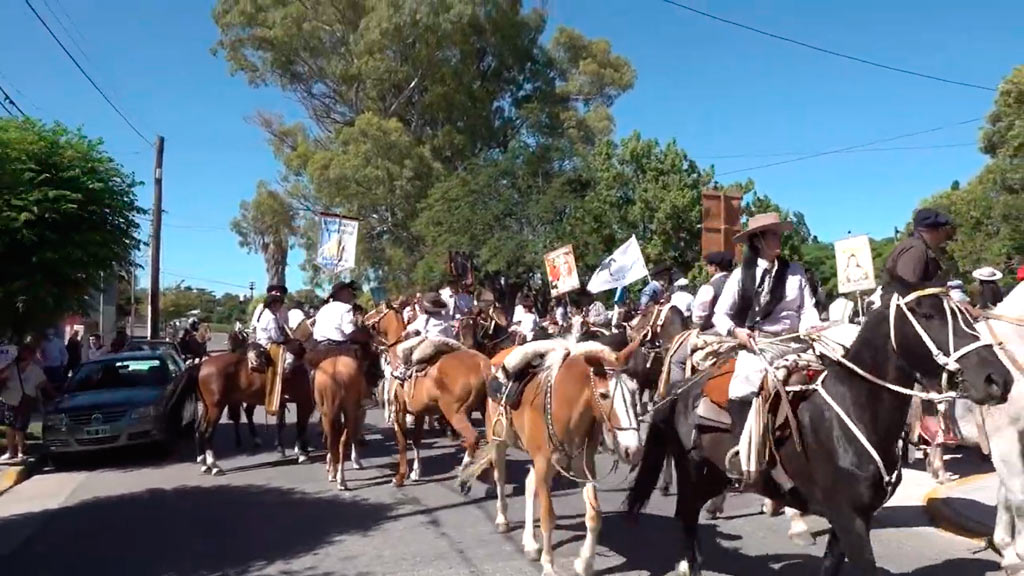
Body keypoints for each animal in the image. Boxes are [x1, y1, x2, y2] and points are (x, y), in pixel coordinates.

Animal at [460, 338, 643, 573]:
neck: (564, 407)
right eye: (604, 395)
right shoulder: (544, 463)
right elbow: (548, 517)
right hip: (499, 441)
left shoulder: (583, 467)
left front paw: (585, 562)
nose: (634, 449)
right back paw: (502, 519)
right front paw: (548, 564)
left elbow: (594, 515)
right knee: (500, 478)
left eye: (634, 391)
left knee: (530, 484)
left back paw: (530, 542)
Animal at [626, 280, 1011, 573]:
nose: (998, 379)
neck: (856, 410)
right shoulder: (848, 518)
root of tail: (679, 390)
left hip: (715, 475)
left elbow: (830, 565)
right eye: (928, 315)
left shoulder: (855, 518)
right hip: (694, 472)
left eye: (966, 315)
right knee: (686, 519)